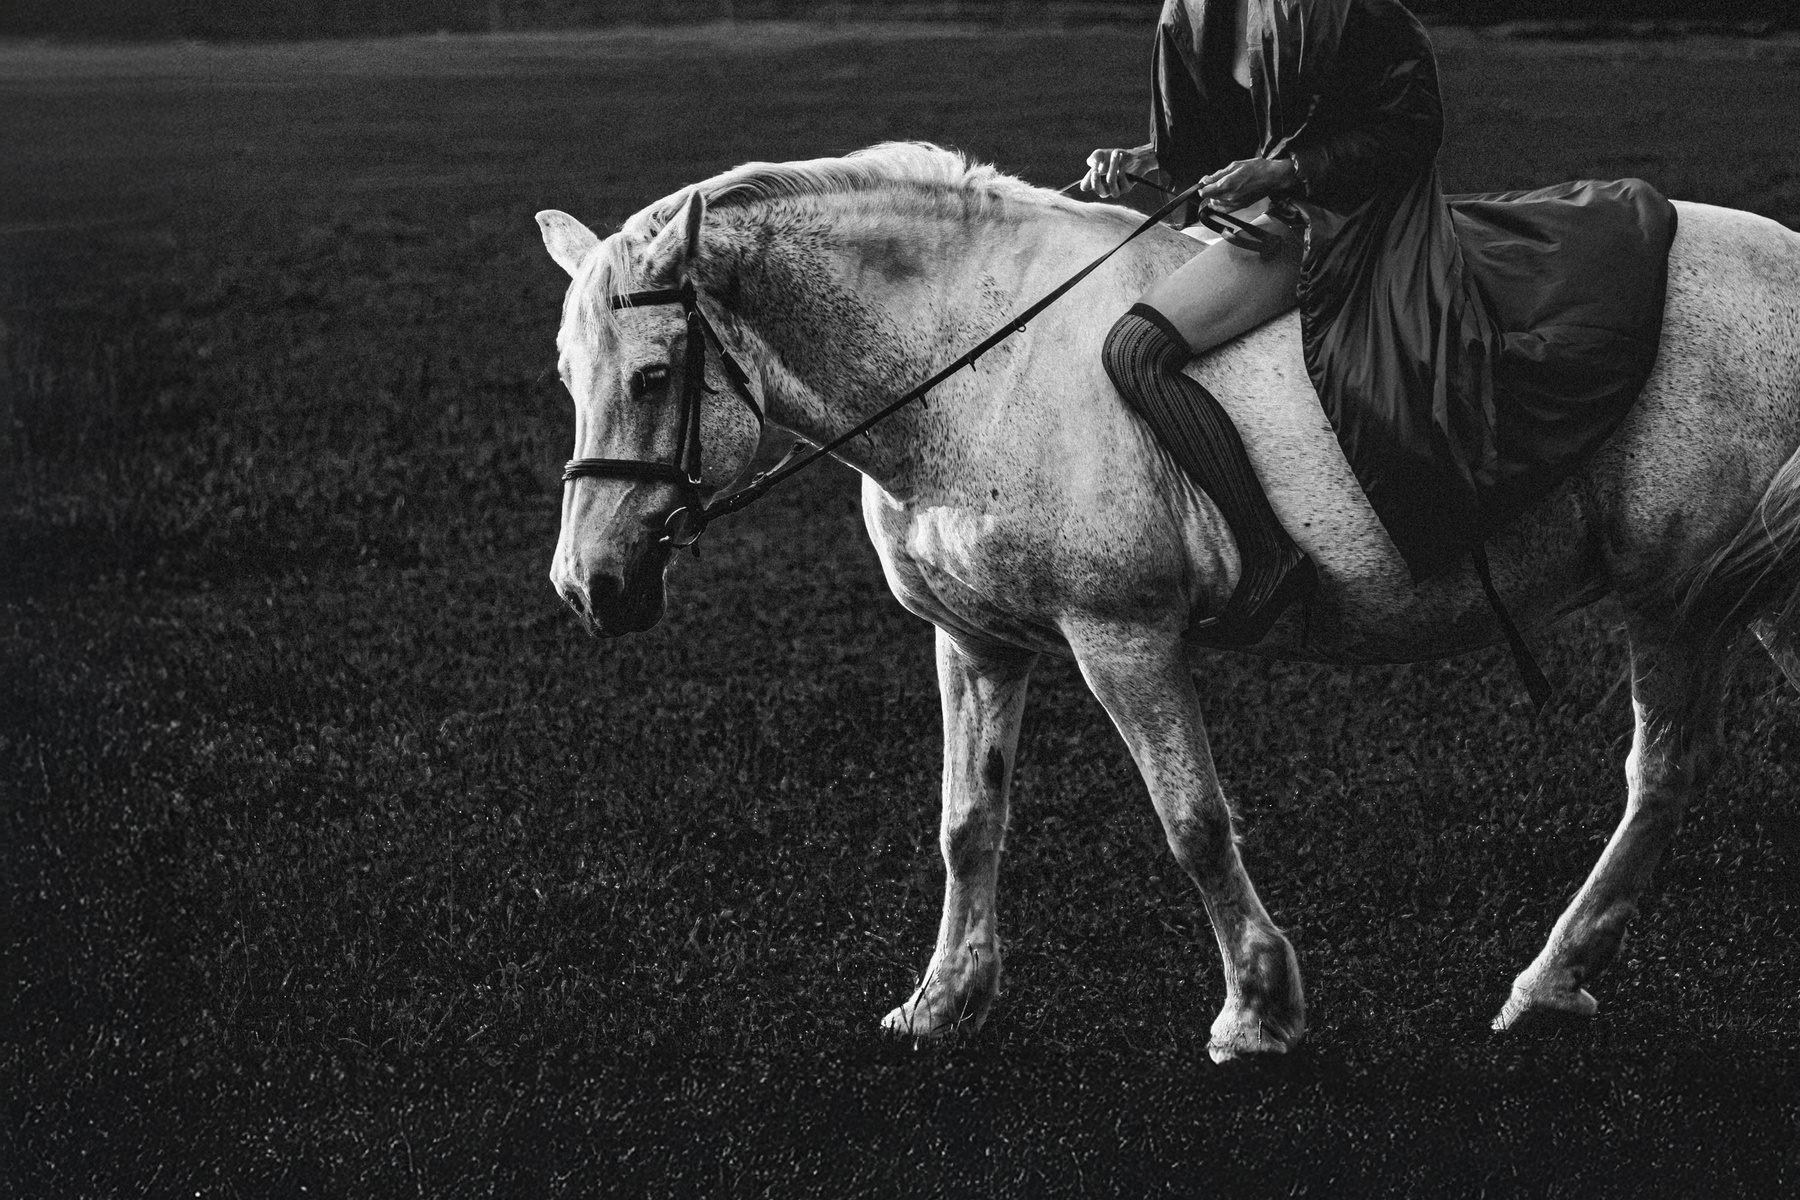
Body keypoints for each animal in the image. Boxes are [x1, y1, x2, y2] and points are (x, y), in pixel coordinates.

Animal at [534, 142, 1800, 1061]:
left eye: (654, 375)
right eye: (564, 376)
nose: (589, 586)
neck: (976, 367)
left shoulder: (1123, 636)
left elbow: (1190, 820)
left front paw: (1258, 1009)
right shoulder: (976, 640)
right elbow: (967, 822)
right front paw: (944, 1002)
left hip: (1676, 595)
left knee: (1662, 775)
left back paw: (1549, 980)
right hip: (1756, 591)